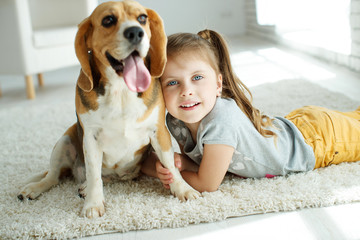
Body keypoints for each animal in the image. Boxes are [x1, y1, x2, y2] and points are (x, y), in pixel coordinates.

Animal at [16, 0, 200, 218]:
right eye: (108, 20)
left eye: (142, 18)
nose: (136, 32)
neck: (121, 90)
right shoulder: (91, 138)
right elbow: (94, 175)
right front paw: (93, 203)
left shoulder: (159, 131)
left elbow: (170, 165)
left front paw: (183, 189)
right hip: (65, 140)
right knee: (54, 177)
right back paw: (37, 188)